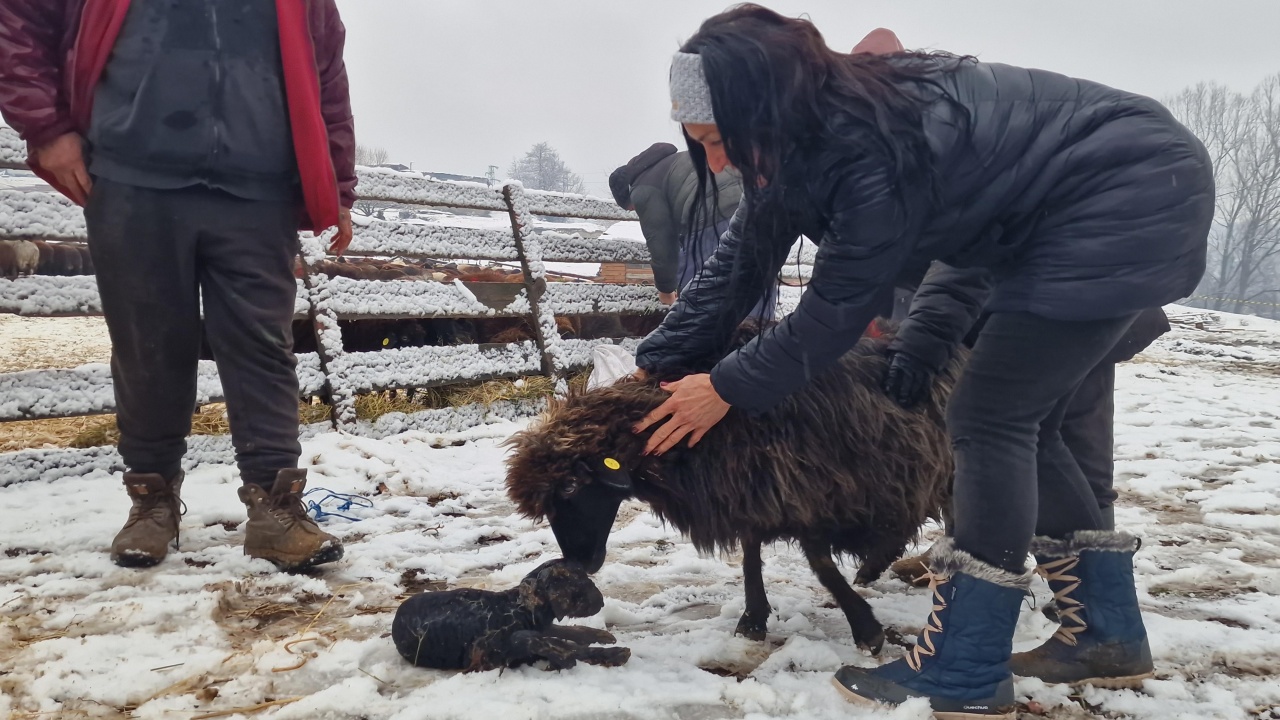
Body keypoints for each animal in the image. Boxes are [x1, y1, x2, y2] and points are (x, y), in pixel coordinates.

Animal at [389, 558, 629, 671]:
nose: (602, 601)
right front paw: (610, 653)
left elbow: (564, 631)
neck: (518, 606)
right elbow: (541, 640)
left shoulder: (542, 625)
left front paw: (601, 636)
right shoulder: (485, 653)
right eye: (579, 583)